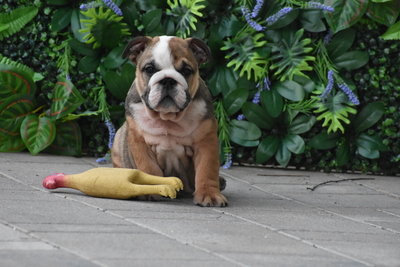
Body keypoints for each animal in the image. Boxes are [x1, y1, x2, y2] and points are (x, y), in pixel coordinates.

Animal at [110, 36, 228, 207]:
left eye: (186, 71)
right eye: (149, 69)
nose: (167, 80)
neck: (167, 117)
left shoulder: (206, 141)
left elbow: (207, 170)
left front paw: (209, 194)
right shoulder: (139, 141)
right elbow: (149, 168)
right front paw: (150, 190)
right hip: (119, 139)